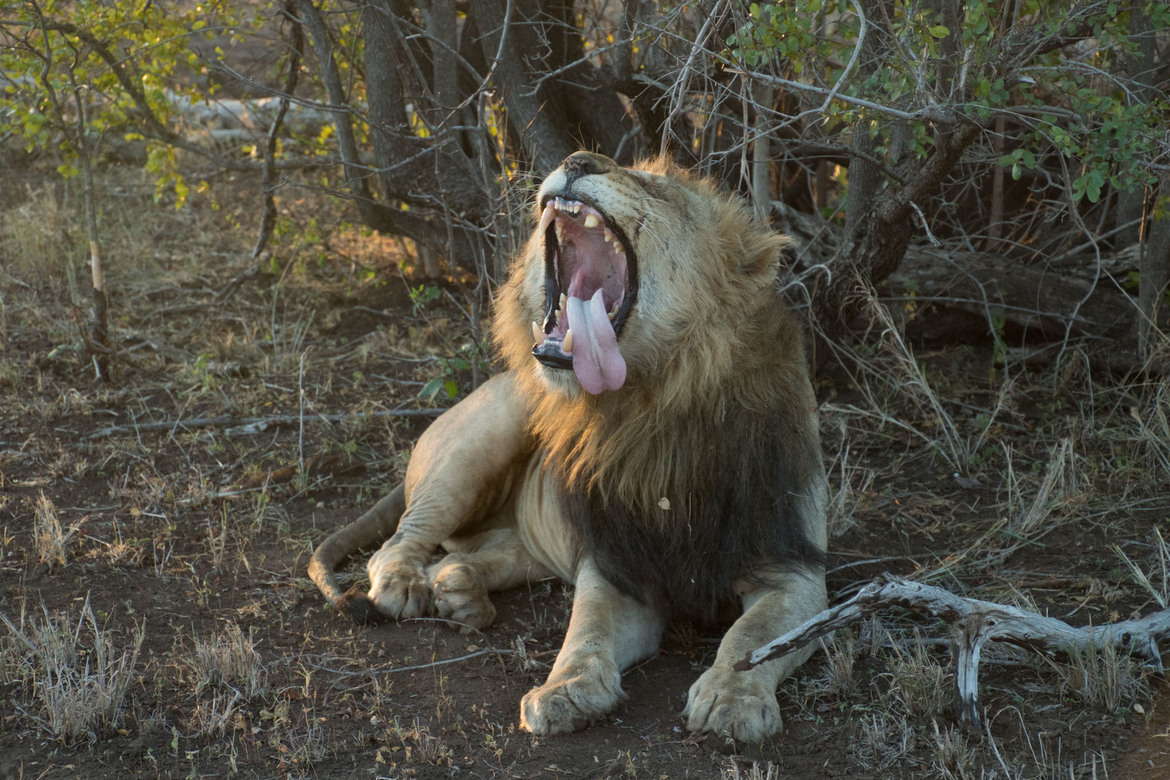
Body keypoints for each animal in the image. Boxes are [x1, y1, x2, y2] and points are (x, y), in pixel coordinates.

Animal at [309, 152, 828, 741]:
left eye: (655, 186)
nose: (579, 160)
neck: (649, 408)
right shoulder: (615, 566)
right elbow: (587, 629)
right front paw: (564, 690)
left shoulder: (796, 573)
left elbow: (755, 636)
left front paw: (731, 699)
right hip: (483, 436)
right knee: (398, 543)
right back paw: (407, 586)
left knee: (476, 555)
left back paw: (460, 593)